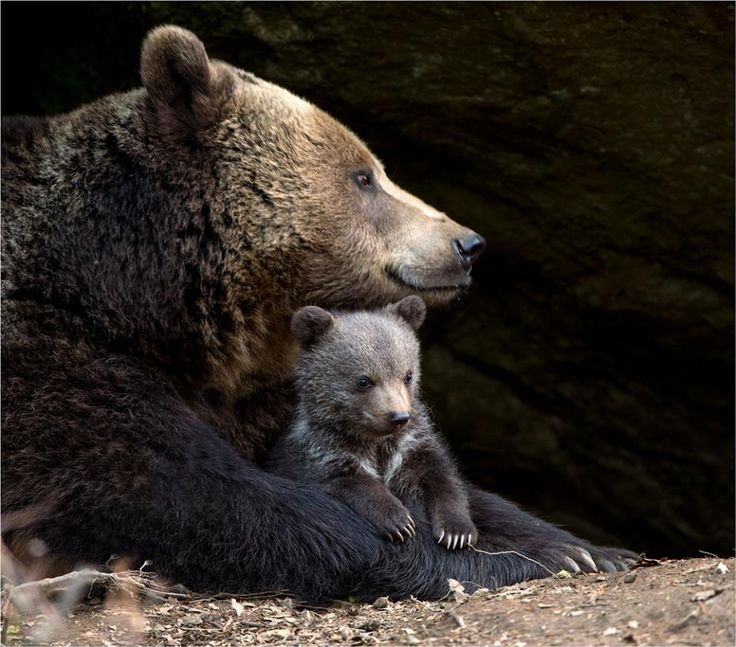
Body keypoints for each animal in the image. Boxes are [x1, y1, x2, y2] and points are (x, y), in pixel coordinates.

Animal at [1, 26, 632, 604]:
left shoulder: (264, 391)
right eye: (364, 176)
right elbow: (192, 495)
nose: (467, 243)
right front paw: (522, 560)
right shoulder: (52, 365)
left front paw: (589, 548)